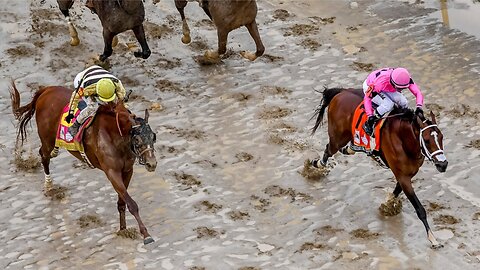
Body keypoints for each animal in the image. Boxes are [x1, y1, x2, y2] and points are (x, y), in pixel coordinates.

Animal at [9, 82, 157, 245]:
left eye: (153, 137)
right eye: (137, 139)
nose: (152, 163)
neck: (115, 136)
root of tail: (46, 90)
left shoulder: (127, 170)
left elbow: (122, 202)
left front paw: (123, 229)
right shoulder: (112, 172)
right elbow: (131, 204)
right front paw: (146, 234)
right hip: (48, 140)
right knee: (44, 155)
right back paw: (49, 185)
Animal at [312, 88, 450, 249]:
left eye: (441, 137)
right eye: (427, 140)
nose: (443, 164)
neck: (404, 139)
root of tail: (341, 92)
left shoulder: (407, 173)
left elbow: (396, 191)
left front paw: (388, 203)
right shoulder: (403, 176)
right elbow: (419, 209)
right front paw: (433, 239)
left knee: (343, 148)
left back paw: (350, 148)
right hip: (337, 137)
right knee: (329, 149)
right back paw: (316, 165)